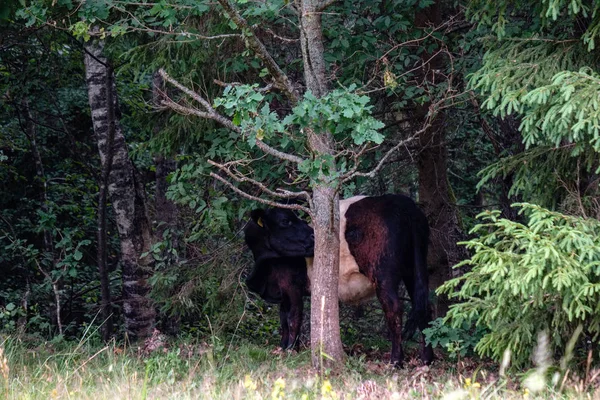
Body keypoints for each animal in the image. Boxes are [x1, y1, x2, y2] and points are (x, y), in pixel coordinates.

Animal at [241, 194, 434, 366]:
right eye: (285, 221)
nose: (314, 237)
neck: (266, 266)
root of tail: (404, 203)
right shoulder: (283, 290)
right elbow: (283, 319)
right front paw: (282, 348)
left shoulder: (292, 285)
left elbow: (293, 317)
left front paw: (291, 351)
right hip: (414, 268)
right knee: (424, 305)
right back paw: (427, 359)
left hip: (383, 273)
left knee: (394, 308)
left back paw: (395, 361)